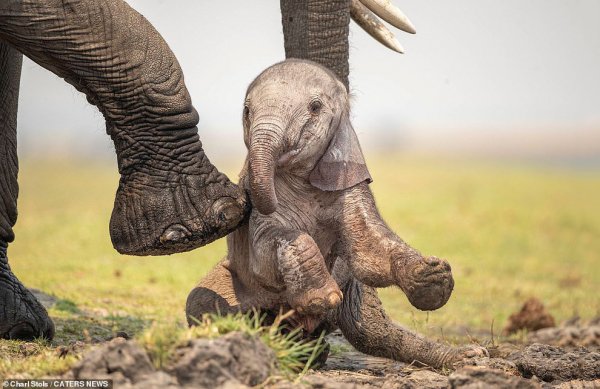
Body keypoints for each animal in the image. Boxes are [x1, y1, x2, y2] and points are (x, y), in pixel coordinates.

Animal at [188, 59, 482, 366]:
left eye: (315, 107)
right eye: (246, 110)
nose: (242, 196)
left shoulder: (348, 183)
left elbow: (369, 250)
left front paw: (433, 275)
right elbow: (266, 254)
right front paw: (323, 297)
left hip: (355, 291)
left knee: (373, 332)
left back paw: (468, 357)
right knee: (202, 304)